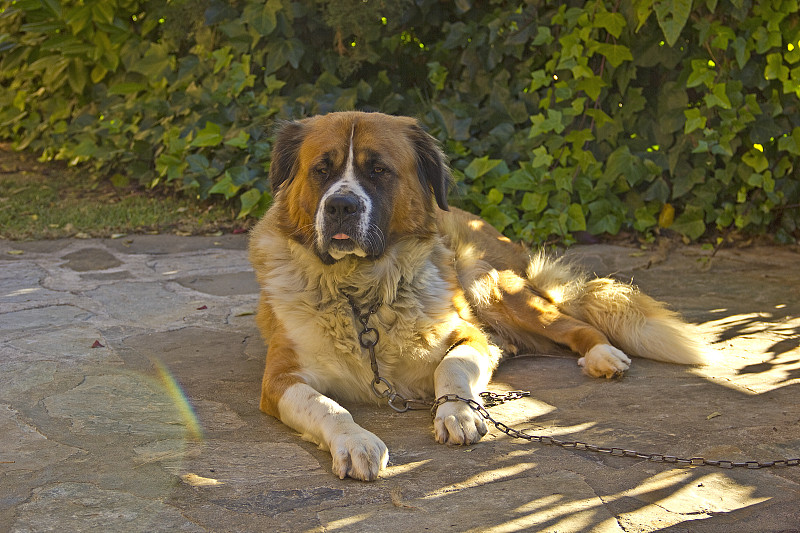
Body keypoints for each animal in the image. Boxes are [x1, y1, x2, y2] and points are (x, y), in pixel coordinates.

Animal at [247, 110, 704, 480]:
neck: (360, 293)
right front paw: (355, 441)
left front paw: (457, 412)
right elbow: (326, 405)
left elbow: (450, 368)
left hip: (491, 285)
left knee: (572, 323)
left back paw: (602, 355)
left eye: (378, 170)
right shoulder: (280, 380)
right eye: (320, 170)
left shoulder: (468, 335)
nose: (341, 206)